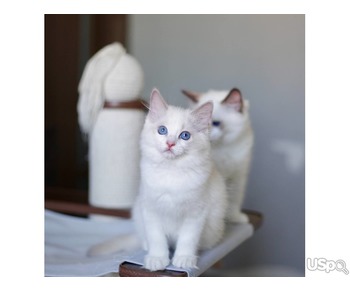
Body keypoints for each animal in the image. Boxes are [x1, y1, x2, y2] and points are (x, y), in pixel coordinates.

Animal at [133, 88, 228, 270]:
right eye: (162, 130)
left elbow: (188, 238)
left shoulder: (196, 212)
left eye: (185, 135)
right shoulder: (150, 209)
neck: (172, 172)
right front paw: (157, 259)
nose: (170, 144)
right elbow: (156, 237)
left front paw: (184, 259)